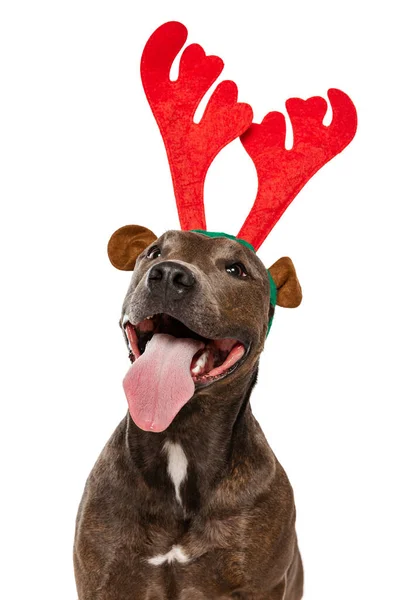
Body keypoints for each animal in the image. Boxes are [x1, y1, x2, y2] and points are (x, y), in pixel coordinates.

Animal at [73, 227, 304, 596]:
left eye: (236, 269)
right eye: (154, 252)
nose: (169, 274)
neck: (179, 433)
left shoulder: (263, 586)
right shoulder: (101, 581)